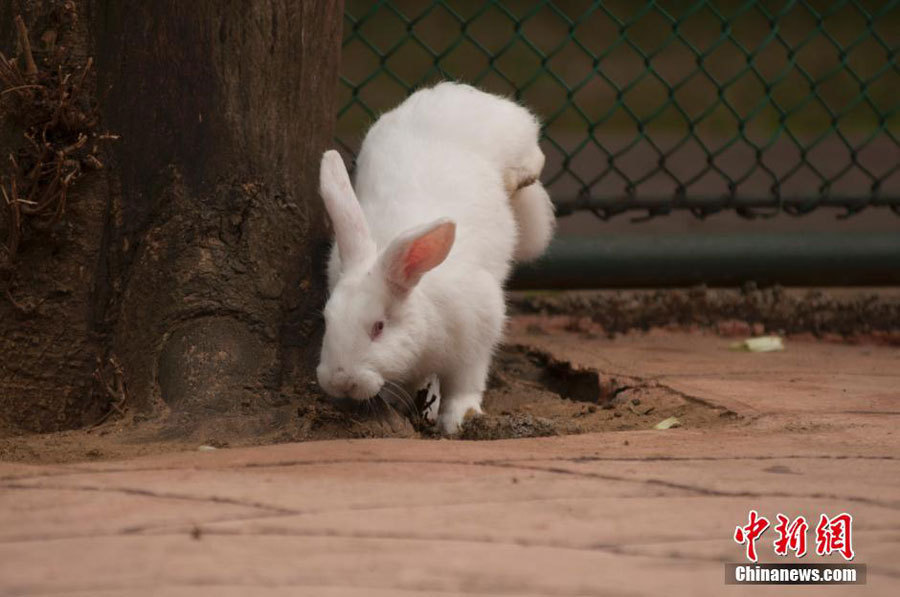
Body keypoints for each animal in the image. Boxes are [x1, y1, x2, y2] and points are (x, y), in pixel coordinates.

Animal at [316, 81, 556, 434]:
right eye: (327, 319)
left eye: (378, 327)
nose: (340, 381)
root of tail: (454, 91)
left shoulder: (478, 332)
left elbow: (466, 384)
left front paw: (456, 420)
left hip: (515, 137)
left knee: (535, 156)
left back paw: (518, 177)